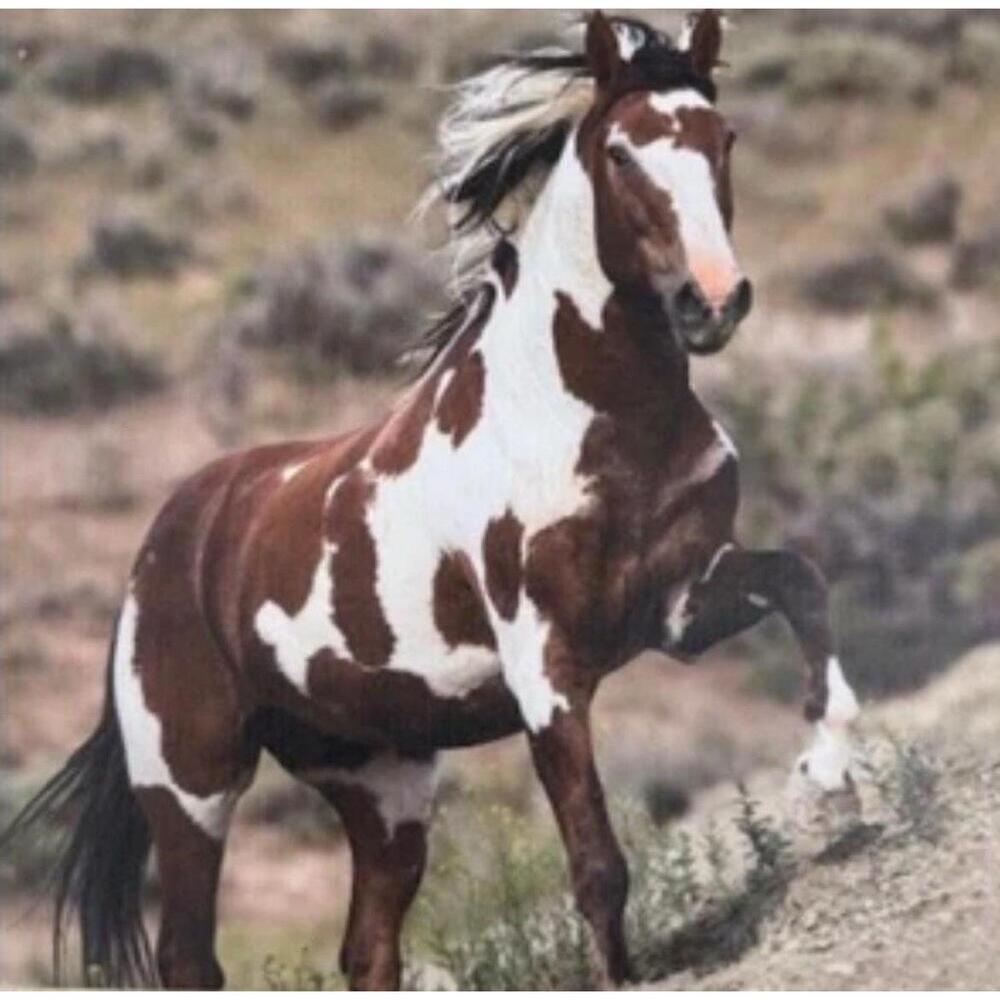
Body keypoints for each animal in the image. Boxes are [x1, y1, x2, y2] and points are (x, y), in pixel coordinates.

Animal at [3, 11, 861, 990]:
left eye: (725, 138)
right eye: (620, 153)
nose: (710, 302)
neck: (590, 413)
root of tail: (158, 553)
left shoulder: (680, 603)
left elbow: (801, 583)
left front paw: (830, 765)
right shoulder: (546, 667)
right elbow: (598, 868)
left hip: (381, 786)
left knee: (368, 948)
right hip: (191, 783)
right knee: (191, 957)